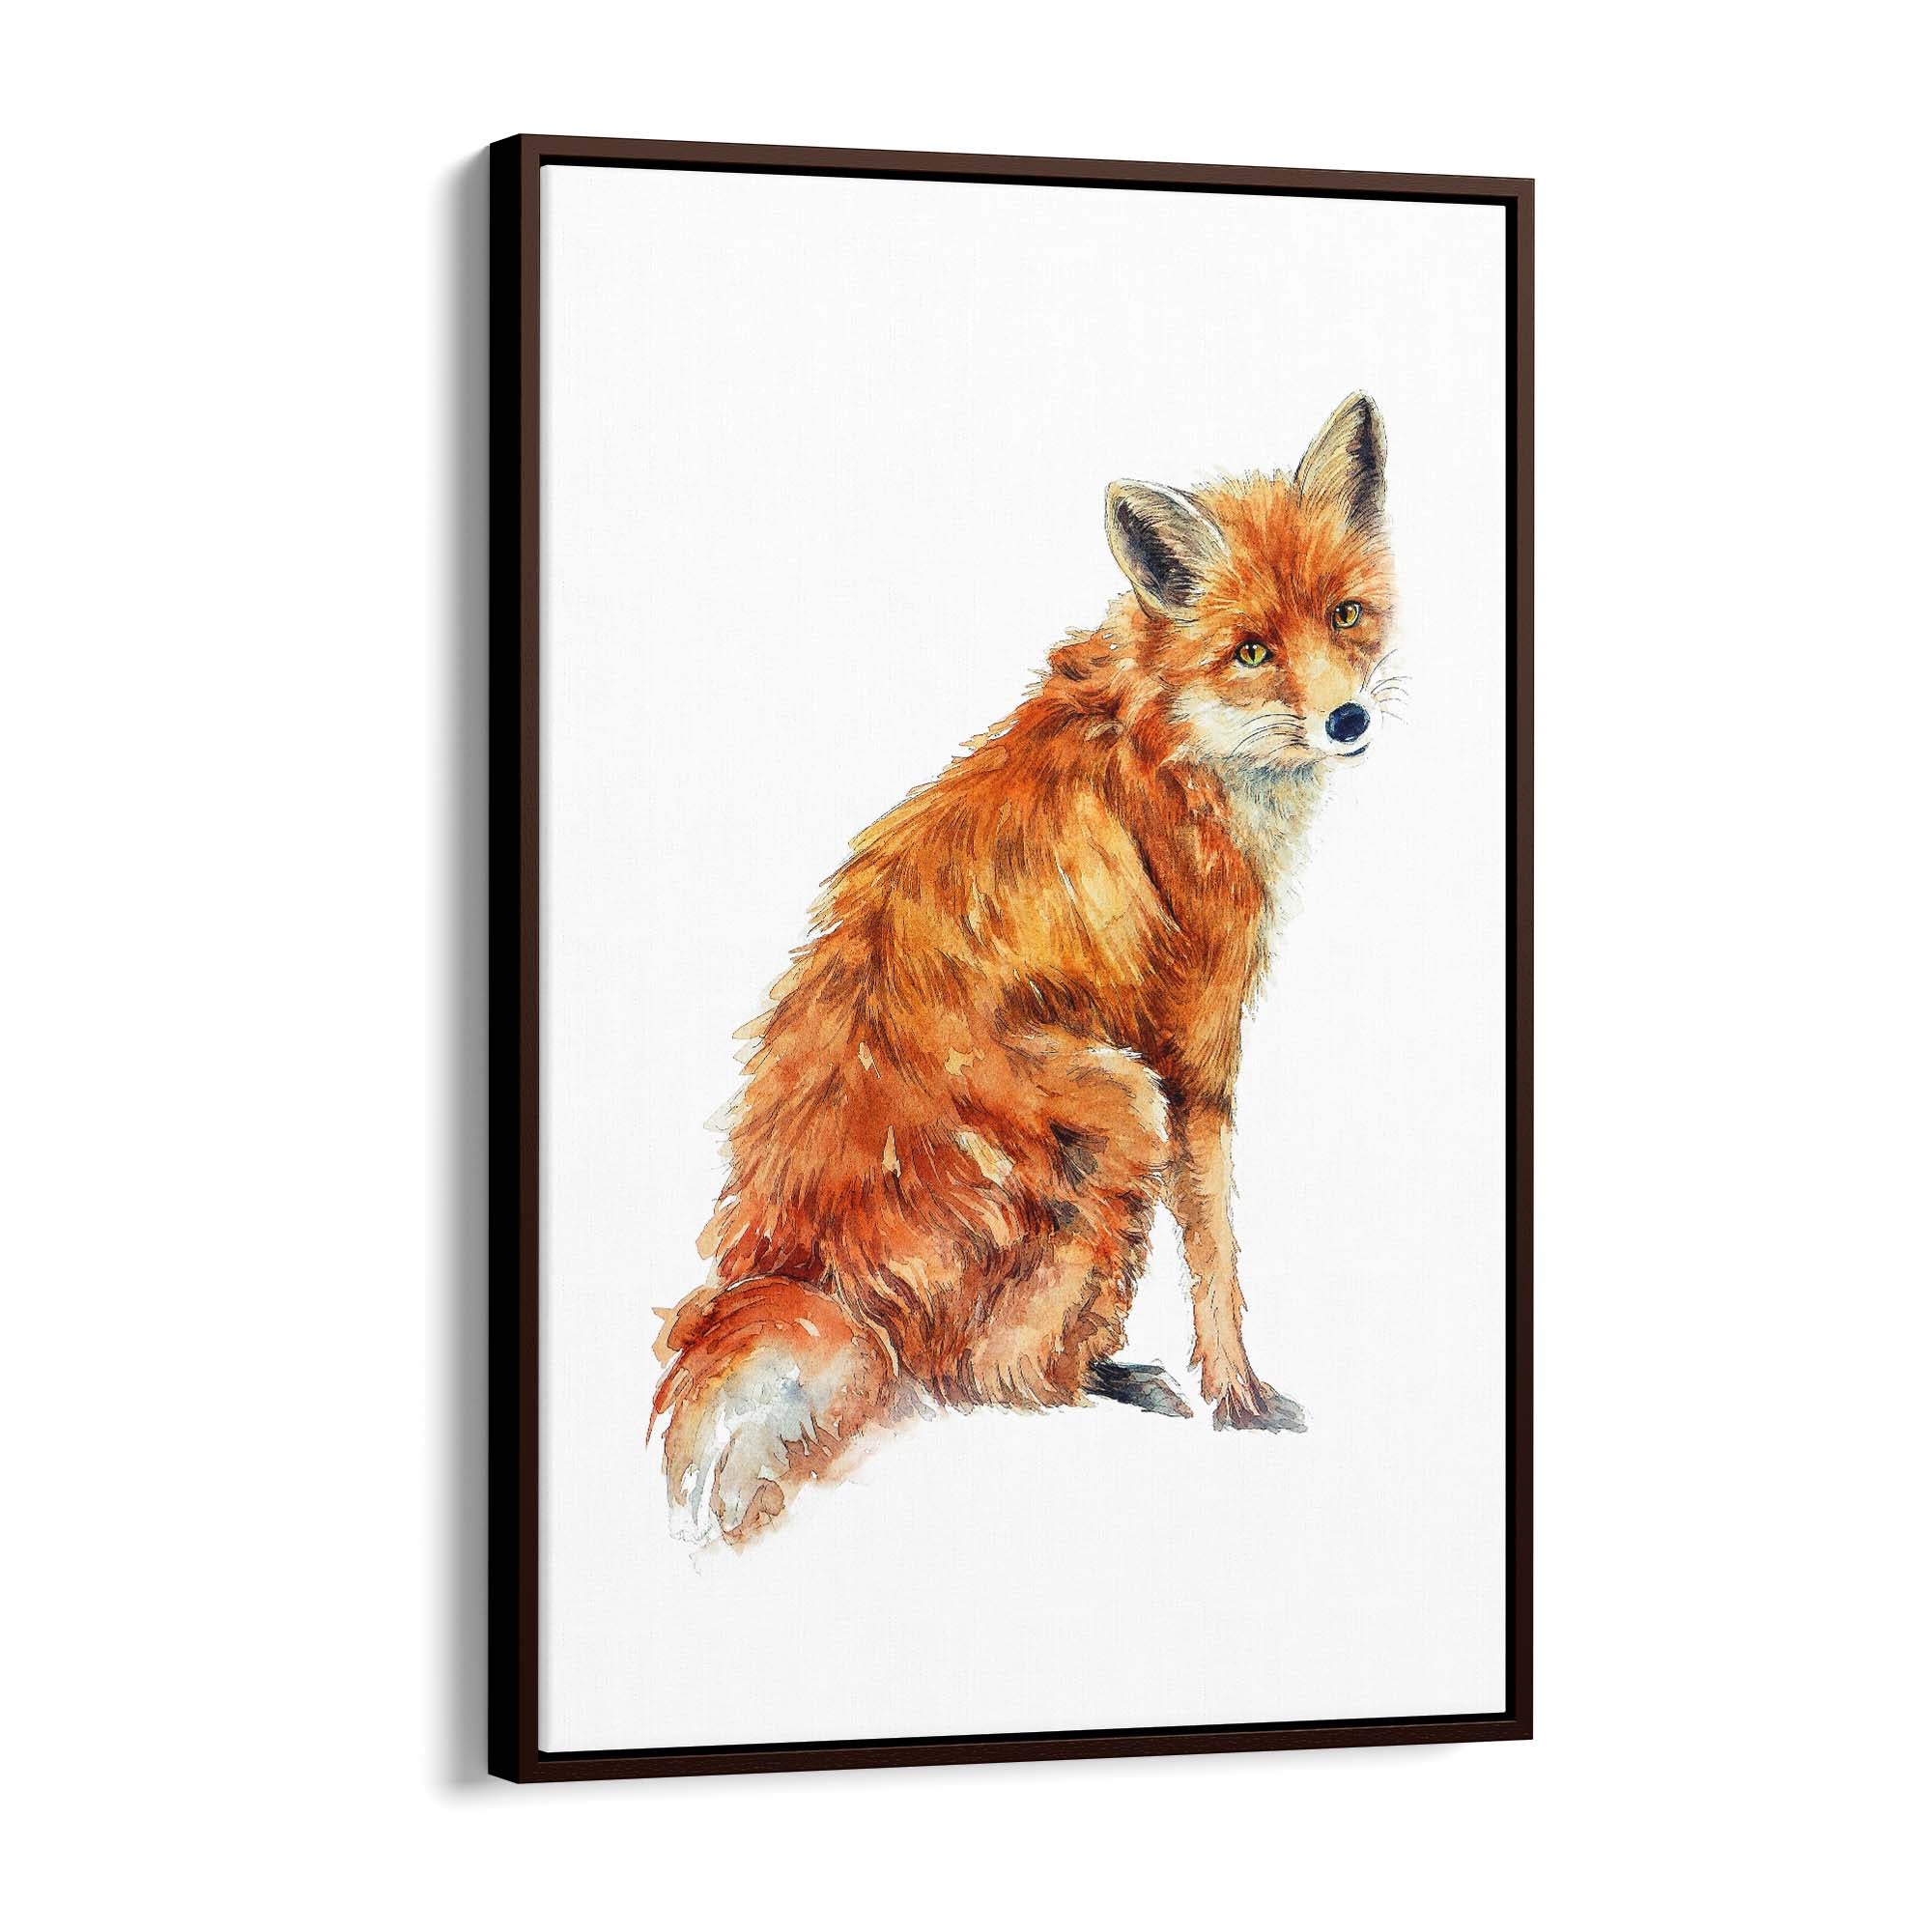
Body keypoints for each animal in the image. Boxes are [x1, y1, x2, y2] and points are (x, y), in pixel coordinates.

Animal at [651, 392, 1400, 1543]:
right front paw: (1238, 1395)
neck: (1170, 741)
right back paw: (1093, 1382)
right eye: (1250, 649)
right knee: (978, 1377)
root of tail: (799, 1262)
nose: (1347, 719)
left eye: (1347, 615)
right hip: (1123, 1105)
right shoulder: (1193, 1054)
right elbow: (1218, 1256)